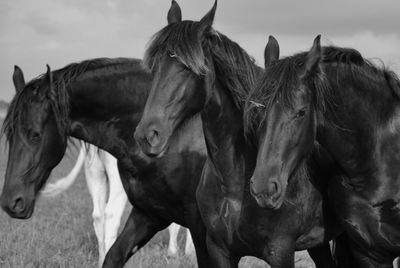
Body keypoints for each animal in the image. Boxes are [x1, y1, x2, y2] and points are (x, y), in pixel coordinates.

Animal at [134, 1, 340, 266]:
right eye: (155, 67)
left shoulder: (280, 251)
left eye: (188, 68)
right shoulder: (219, 250)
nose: (147, 135)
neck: (234, 187)